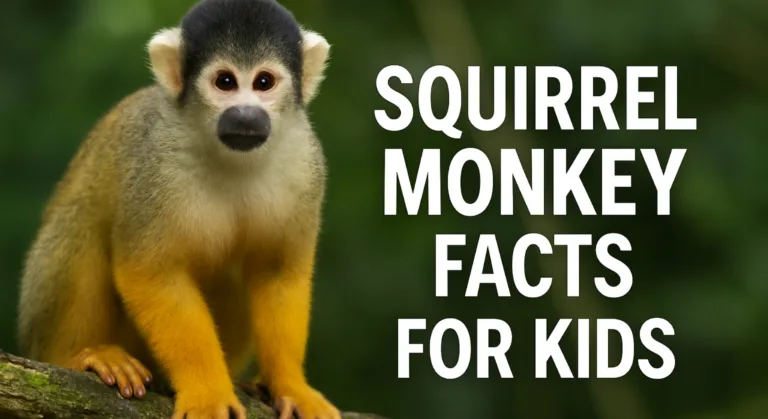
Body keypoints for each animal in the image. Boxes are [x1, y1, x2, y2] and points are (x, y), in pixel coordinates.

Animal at [16, 0, 338, 418]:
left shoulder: (305, 165)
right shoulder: (155, 162)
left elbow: (278, 272)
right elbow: (151, 273)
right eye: (225, 82)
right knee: (81, 225)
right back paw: (80, 357)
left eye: (264, 82)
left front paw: (292, 386)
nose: (246, 115)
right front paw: (207, 391)